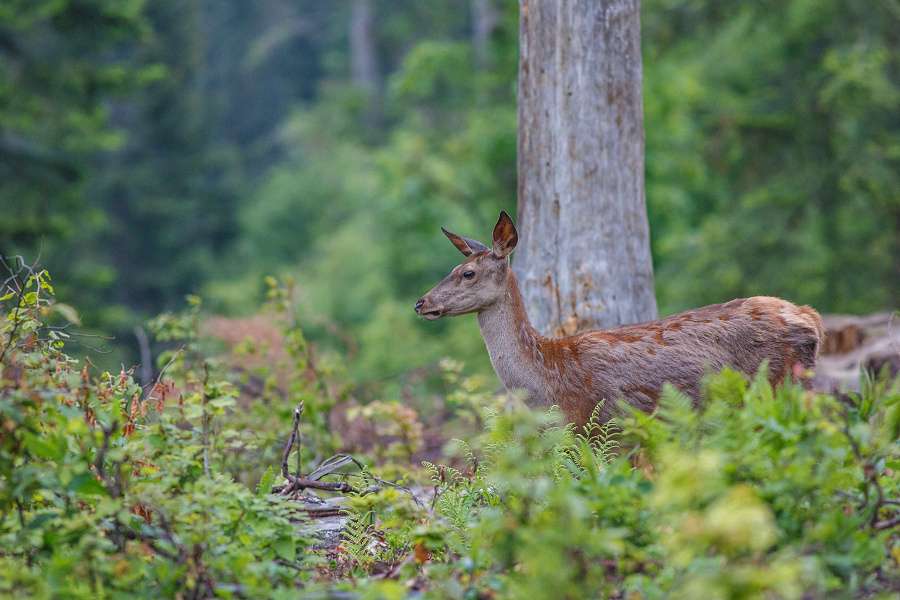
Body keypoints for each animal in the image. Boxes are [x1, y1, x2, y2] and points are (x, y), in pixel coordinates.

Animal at [414, 211, 824, 426]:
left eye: (468, 273)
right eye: (454, 267)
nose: (421, 302)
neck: (550, 383)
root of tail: (812, 317)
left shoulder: (606, 425)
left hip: (784, 386)